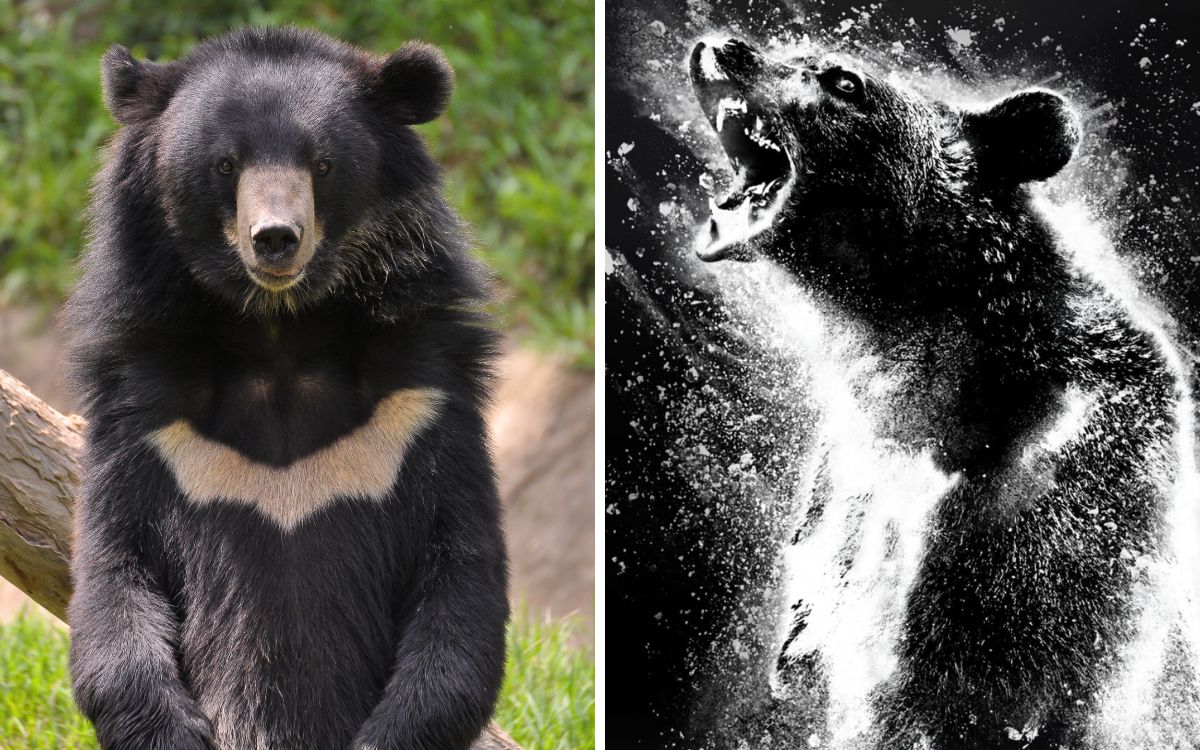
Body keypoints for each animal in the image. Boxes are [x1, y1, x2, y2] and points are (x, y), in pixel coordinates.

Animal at [64, 27, 508, 750]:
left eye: (321, 163)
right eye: (224, 164)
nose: (276, 240)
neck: (278, 331)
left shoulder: (422, 402)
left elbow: (460, 581)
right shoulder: (142, 416)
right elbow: (113, 576)